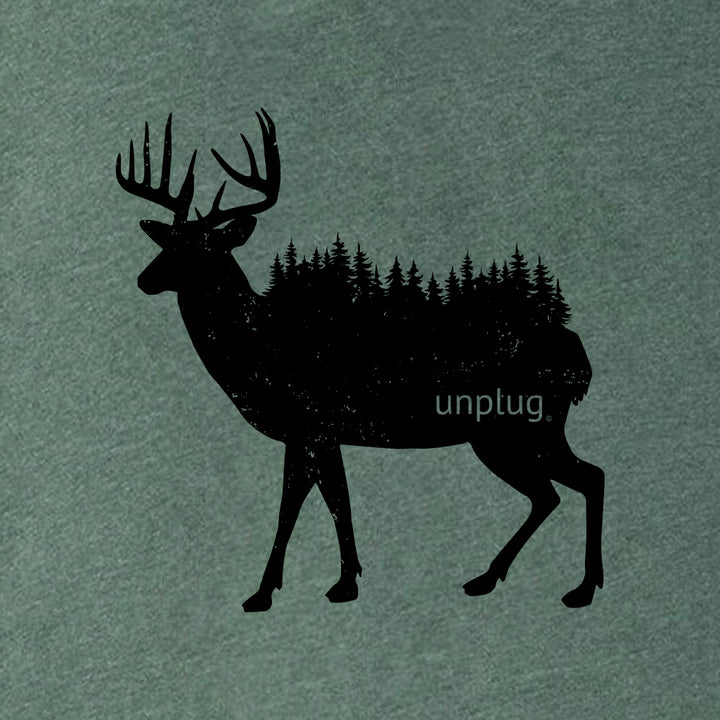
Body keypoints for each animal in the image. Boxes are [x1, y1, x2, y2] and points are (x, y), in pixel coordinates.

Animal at [116, 110, 604, 612]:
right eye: (167, 242)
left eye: (206, 248)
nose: (144, 279)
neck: (260, 352)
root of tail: (579, 358)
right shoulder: (319, 435)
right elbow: (332, 501)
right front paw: (328, 581)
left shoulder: (312, 425)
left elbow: (305, 506)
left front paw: (291, 588)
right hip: (522, 432)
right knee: (568, 486)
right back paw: (499, 578)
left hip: (514, 427)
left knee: (574, 483)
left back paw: (576, 587)